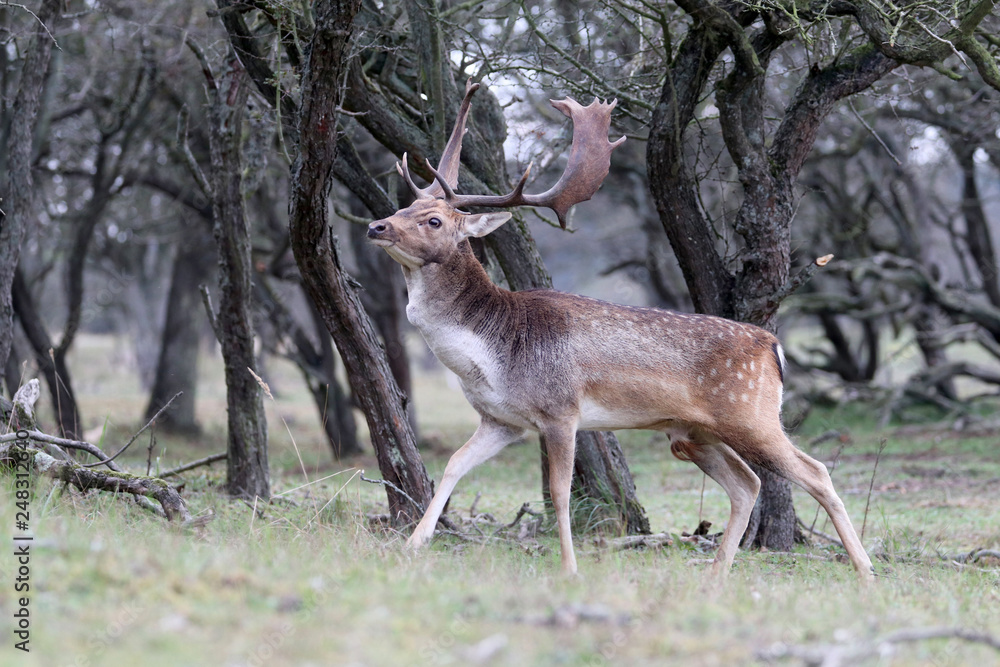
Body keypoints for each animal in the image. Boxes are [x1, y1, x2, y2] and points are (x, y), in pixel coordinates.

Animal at [366, 80, 875, 583]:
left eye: (433, 220)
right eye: (405, 205)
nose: (376, 226)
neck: (490, 356)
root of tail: (774, 346)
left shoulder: (561, 410)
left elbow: (561, 493)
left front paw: (570, 569)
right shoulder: (502, 420)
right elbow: (453, 465)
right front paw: (411, 547)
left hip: (750, 413)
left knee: (815, 471)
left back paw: (865, 569)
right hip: (694, 432)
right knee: (746, 483)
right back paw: (715, 575)